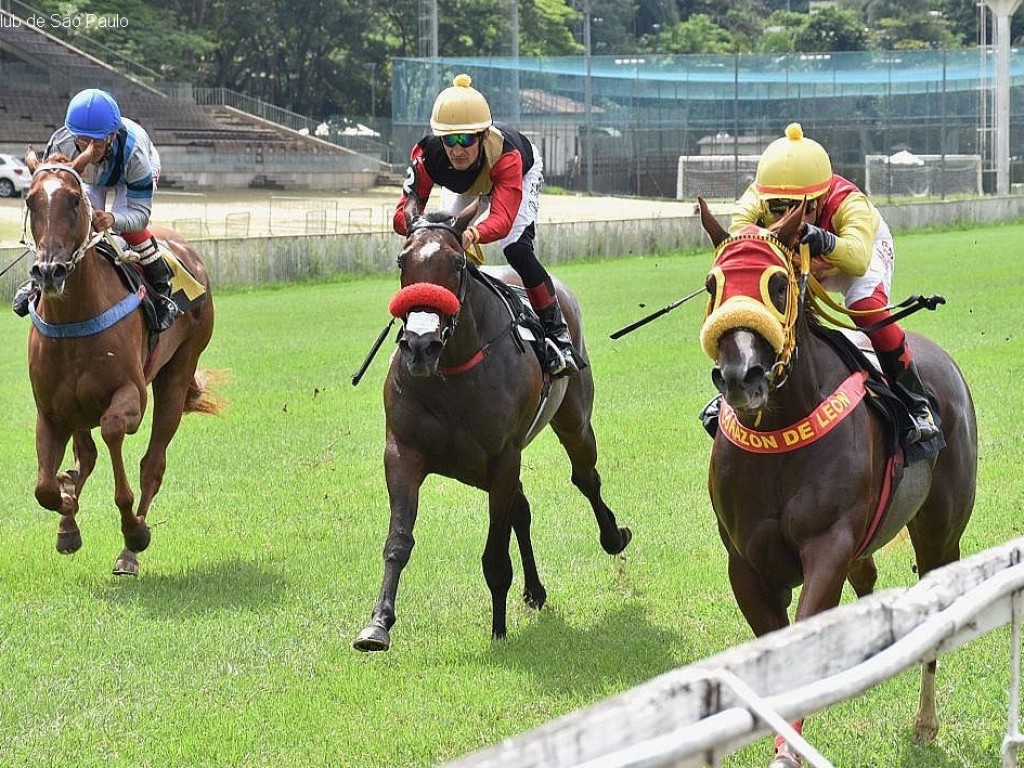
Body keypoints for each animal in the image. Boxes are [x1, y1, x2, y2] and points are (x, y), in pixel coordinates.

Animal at [23, 157, 218, 577]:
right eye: (30, 200)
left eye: (74, 199)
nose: (49, 271)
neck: (75, 318)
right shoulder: (50, 412)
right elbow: (44, 487)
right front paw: (66, 504)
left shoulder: (131, 396)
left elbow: (114, 432)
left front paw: (133, 529)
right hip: (75, 409)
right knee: (86, 456)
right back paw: (69, 514)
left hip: (177, 373)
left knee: (152, 464)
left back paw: (131, 547)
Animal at [354, 199, 630, 655]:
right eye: (401, 260)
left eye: (456, 263)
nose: (420, 345)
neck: (451, 371)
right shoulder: (403, 452)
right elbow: (398, 541)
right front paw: (378, 623)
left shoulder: (503, 457)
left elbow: (496, 554)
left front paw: (498, 628)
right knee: (523, 507)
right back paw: (535, 590)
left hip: (573, 421)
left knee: (586, 478)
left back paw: (612, 536)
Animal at [696, 201, 974, 765]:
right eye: (713, 284)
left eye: (779, 284)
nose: (741, 376)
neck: (780, 433)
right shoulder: (746, 563)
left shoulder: (828, 545)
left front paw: (786, 751)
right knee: (866, 577)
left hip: (940, 534)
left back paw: (926, 720)